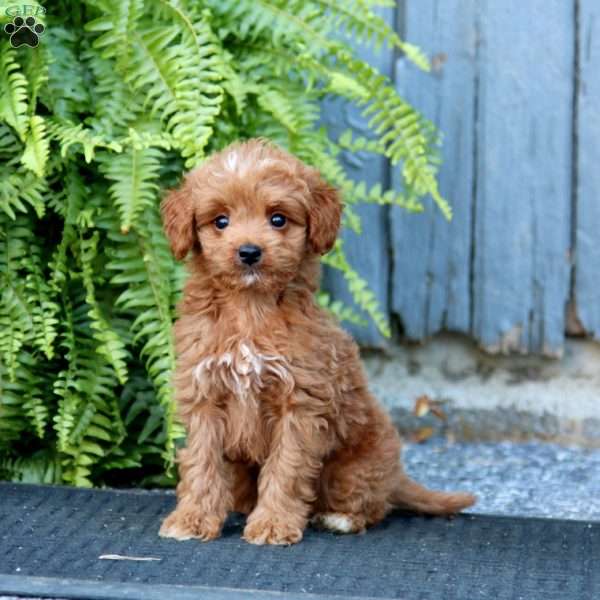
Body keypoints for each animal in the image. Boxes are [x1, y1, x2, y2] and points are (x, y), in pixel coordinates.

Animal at [158, 138, 474, 548]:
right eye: (220, 221)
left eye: (278, 219)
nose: (249, 252)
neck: (250, 310)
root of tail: (396, 475)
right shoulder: (204, 396)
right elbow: (201, 463)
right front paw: (193, 518)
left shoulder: (300, 404)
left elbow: (286, 469)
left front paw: (273, 524)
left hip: (354, 466)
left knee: (373, 504)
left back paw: (341, 518)